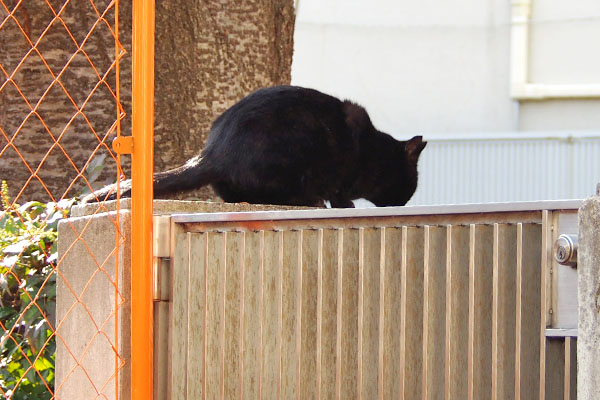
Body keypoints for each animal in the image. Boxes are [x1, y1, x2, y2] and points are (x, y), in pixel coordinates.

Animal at [86, 86, 428, 208]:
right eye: (411, 183)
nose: (402, 203)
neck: (375, 153)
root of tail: (212, 153)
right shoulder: (341, 175)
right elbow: (341, 195)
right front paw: (345, 206)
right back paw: (309, 200)